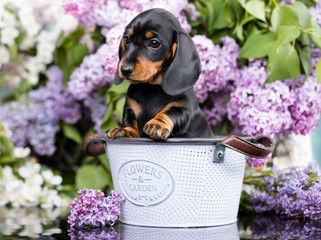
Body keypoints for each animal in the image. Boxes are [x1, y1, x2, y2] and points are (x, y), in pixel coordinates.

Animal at [106, 8, 214, 140]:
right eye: (126, 39)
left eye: (154, 43)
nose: (125, 70)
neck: (151, 87)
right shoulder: (130, 109)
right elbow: (130, 122)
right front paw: (125, 131)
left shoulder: (184, 108)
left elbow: (170, 112)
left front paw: (157, 124)